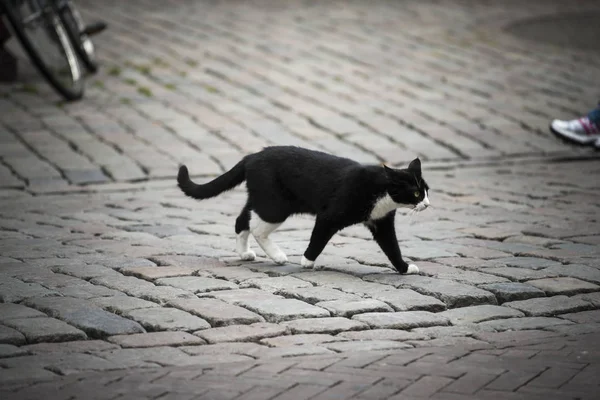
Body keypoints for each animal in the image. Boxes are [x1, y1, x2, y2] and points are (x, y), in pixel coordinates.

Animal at [176, 147, 428, 276]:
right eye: (416, 193)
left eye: (427, 191)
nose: (426, 204)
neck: (381, 191)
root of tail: (252, 156)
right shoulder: (329, 215)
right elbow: (318, 238)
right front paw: (307, 261)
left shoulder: (382, 222)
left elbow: (392, 248)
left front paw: (405, 268)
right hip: (275, 206)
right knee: (256, 228)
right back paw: (277, 256)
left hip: (263, 199)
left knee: (241, 221)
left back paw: (244, 253)